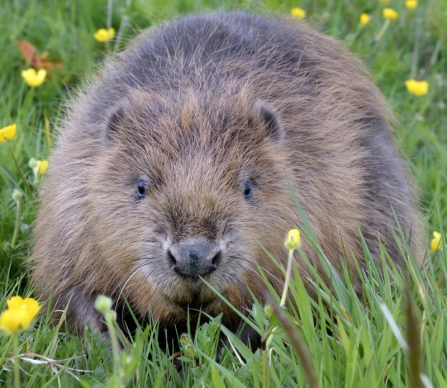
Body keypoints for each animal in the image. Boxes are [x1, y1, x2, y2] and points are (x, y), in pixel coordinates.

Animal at [28, 11, 424, 342]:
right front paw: (118, 351)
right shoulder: (71, 210)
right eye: (140, 186)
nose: (195, 258)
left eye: (247, 187)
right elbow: (72, 295)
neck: (198, 97)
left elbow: (284, 301)